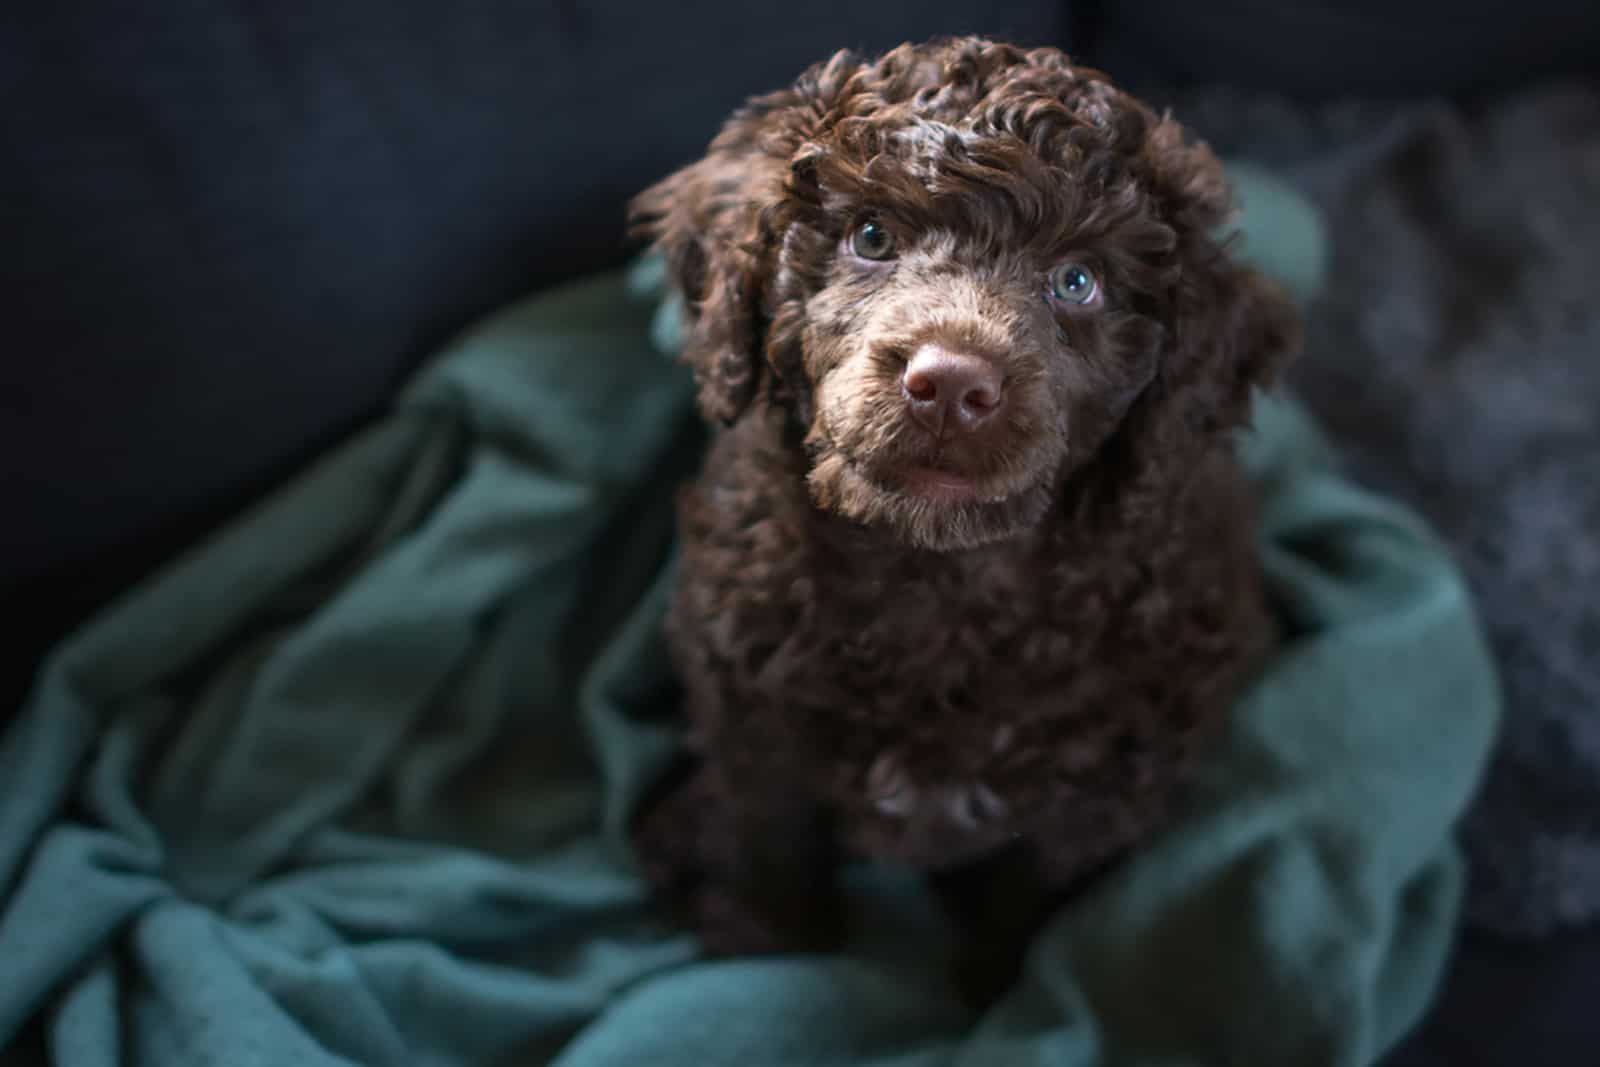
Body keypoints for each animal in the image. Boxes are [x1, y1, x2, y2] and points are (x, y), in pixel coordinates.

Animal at [624, 37, 1299, 991]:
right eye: (871, 236)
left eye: (1078, 282)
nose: (949, 384)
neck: (940, 571)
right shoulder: (750, 715)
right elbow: (771, 841)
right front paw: (769, 944)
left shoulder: (1096, 788)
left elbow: (1026, 895)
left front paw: (1002, 989)